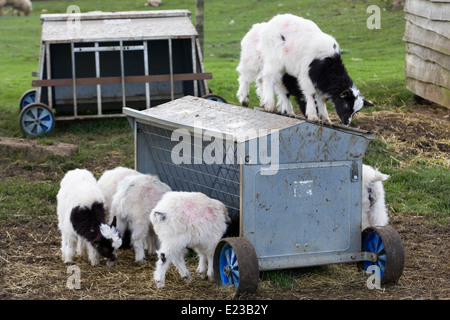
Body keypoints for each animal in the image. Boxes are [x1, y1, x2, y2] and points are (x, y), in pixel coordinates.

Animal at [236, 14, 372, 125]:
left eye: (356, 111)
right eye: (346, 104)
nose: (346, 122)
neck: (327, 62)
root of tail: (266, 24)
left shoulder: (320, 81)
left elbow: (321, 99)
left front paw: (326, 119)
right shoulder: (306, 74)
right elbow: (311, 94)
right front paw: (312, 116)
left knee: (262, 79)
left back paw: (264, 102)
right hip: (266, 60)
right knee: (256, 78)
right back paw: (254, 101)